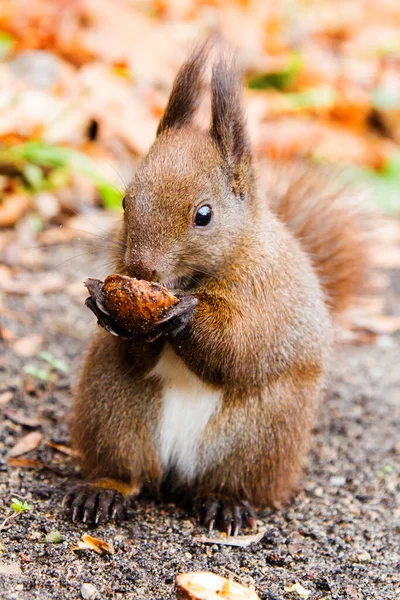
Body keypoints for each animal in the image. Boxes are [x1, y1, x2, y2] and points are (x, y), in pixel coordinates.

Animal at [62, 41, 372, 536]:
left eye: (203, 215)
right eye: (125, 201)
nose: (140, 267)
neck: (194, 280)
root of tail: (174, 469)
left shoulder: (266, 294)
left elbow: (240, 347)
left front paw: (184, 316)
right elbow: (133, 348)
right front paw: (103, 305)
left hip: (261, 436)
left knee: (232, 480)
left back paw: (225, 503)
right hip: (112, 409)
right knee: (127, 468)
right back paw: (104, 490)